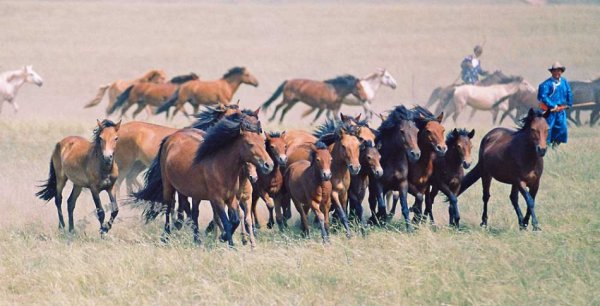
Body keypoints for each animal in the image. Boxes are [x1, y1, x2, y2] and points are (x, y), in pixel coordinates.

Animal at [135, 112, 274, 246]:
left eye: (263, 142)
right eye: (250, 144)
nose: (269, 165)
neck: (221, 167)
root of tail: (170, 138)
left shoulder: (231, 198)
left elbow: (234, 220)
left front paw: (224, 238)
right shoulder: (217, 199)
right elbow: (226, 222)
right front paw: (230, 244)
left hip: (192, 192)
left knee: (193, 212)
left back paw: (197, 239)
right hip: (168, 185)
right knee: (168, 208)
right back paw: (165, 236)